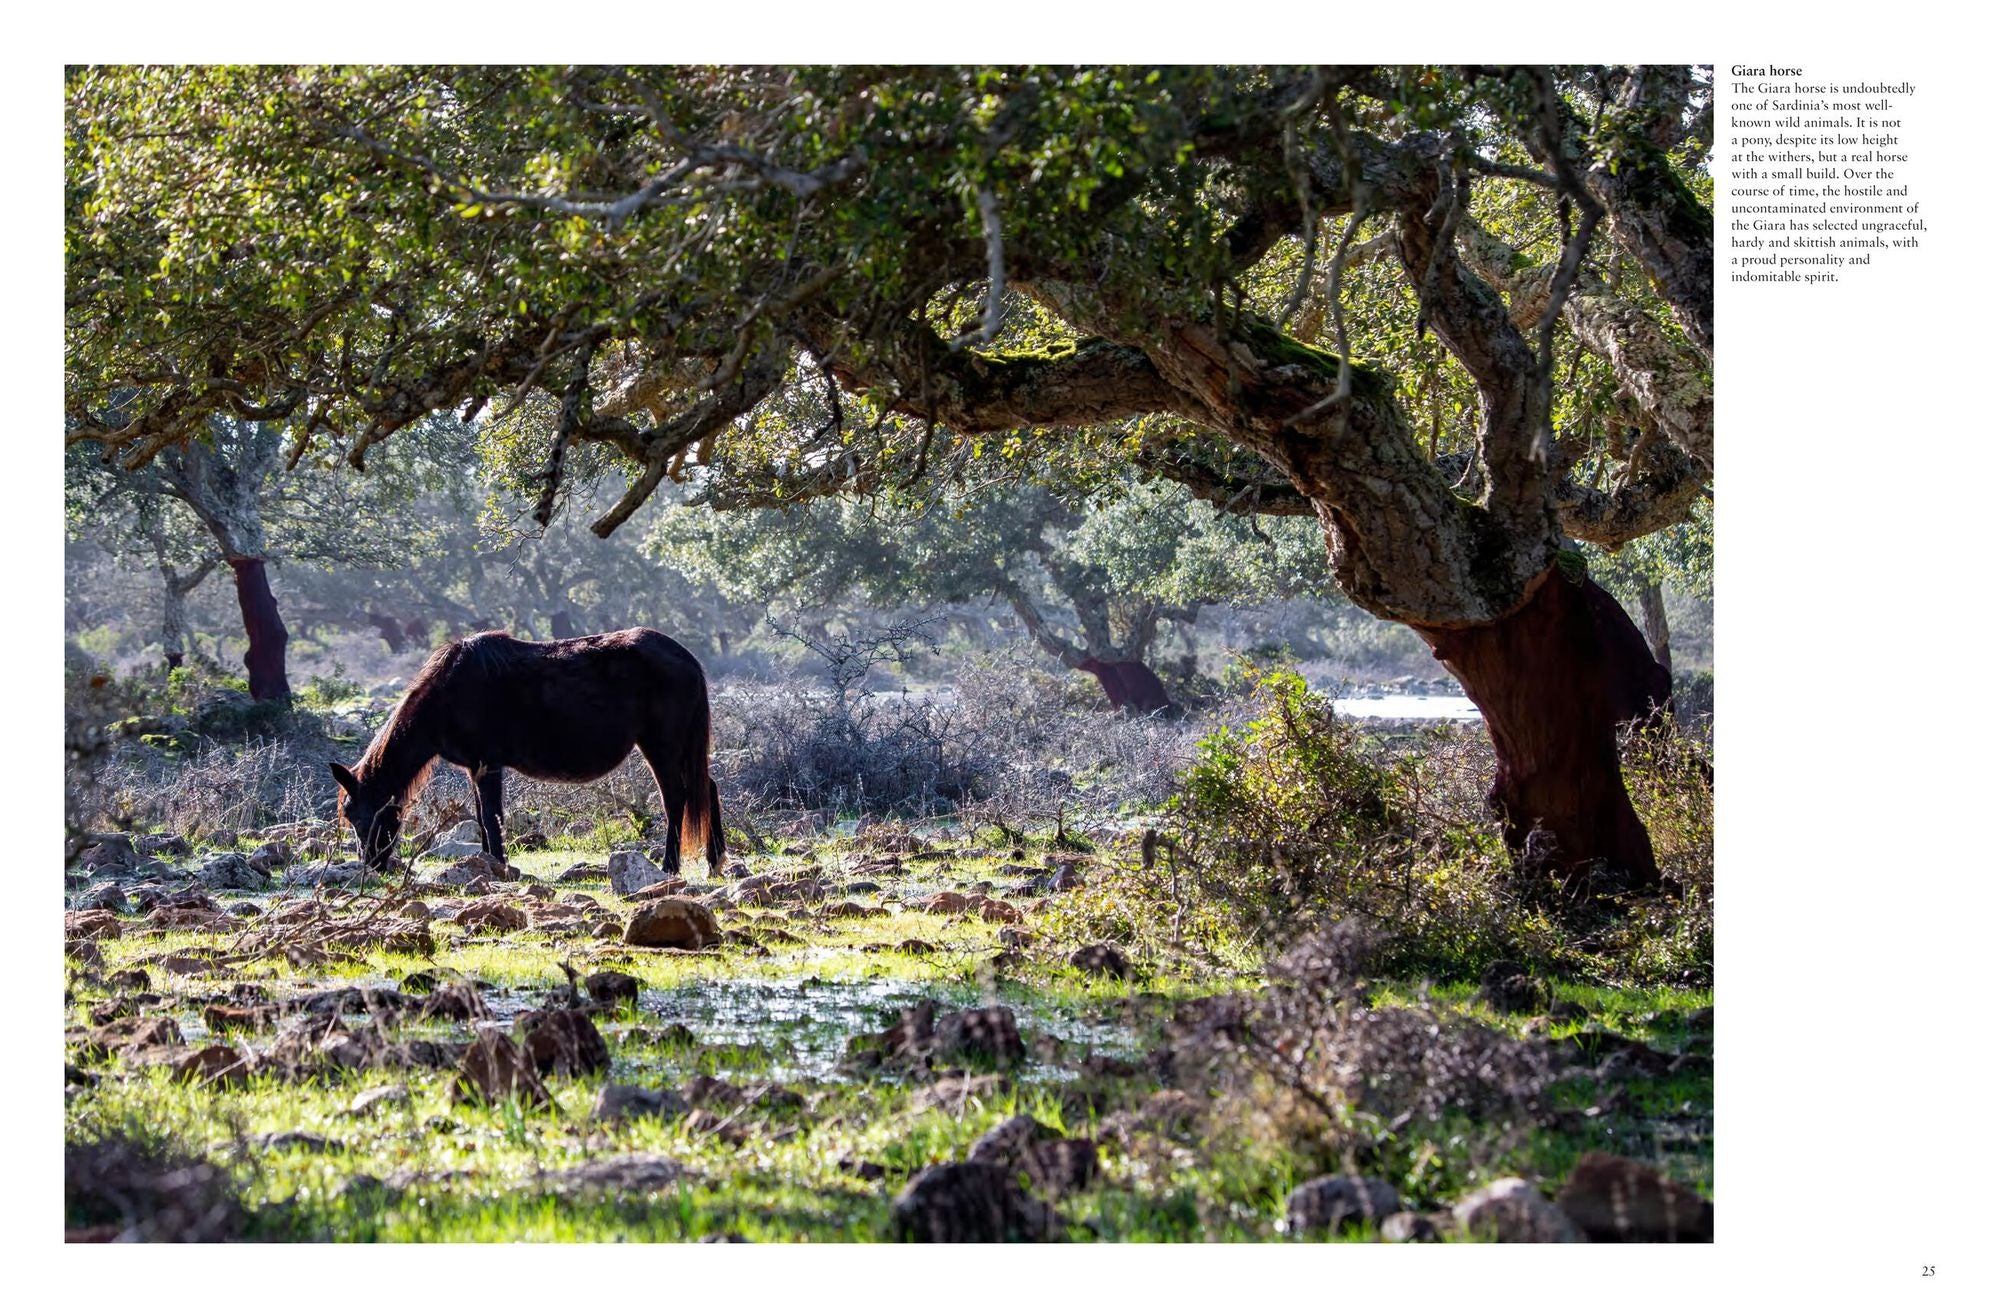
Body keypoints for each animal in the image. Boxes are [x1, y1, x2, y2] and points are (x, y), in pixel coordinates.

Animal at [328, 628, 725, 875]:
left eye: (357, 815)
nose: (372, 865)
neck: (446, 695)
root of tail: (687, 659)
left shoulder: (488, 764)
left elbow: (491, 817)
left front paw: (498, 866)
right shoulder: (475, 768)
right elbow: (482, 817)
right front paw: (488, 865)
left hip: (662, 745)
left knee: (676, 797)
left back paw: (670, 866)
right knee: (707, 789)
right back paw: (715, 860)